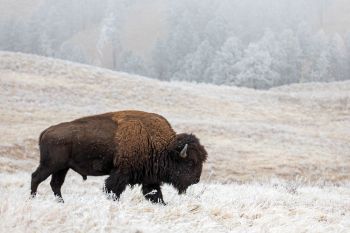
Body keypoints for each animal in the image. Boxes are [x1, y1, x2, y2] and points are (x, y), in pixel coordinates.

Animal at [30, 110, 208, 203]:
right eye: (191, 162)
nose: (196, 180)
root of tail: (46, 131)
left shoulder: (149, 178)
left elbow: (155, 193)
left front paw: (163, 204)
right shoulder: (121, 173)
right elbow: (112, 188)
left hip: (62, 168)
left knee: (55, 184)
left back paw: (61, 202)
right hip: (50, 165)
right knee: (36, 177)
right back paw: (32, 199)